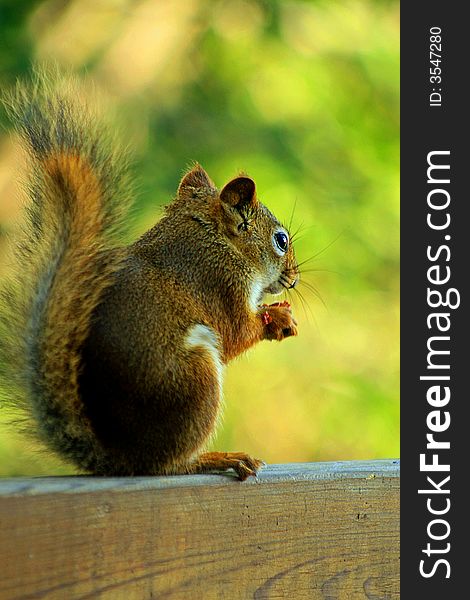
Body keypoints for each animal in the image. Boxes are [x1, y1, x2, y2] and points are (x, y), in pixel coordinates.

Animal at [0, 72, 300, 480]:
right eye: (281, 241)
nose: (294, 278)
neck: (215, 240)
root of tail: (121, 459)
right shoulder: (220, 285)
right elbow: (236, 333)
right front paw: (279, 318)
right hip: (194, 380)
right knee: (169, 464)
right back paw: (215, 458)